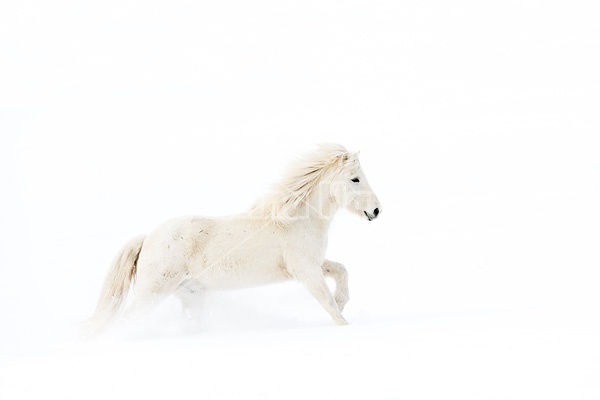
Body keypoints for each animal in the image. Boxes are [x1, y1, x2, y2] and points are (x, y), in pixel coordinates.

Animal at [89, 142, 380, 332]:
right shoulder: (305, 270)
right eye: (355, 179)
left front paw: (343, 302)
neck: (292, 219)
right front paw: (344, 323)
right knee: (127, 320)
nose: (376, 211)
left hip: (191, 295)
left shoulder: (311, 264)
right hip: (154, 291)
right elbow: (327, 302)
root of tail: (148, 238)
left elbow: (341, 270)